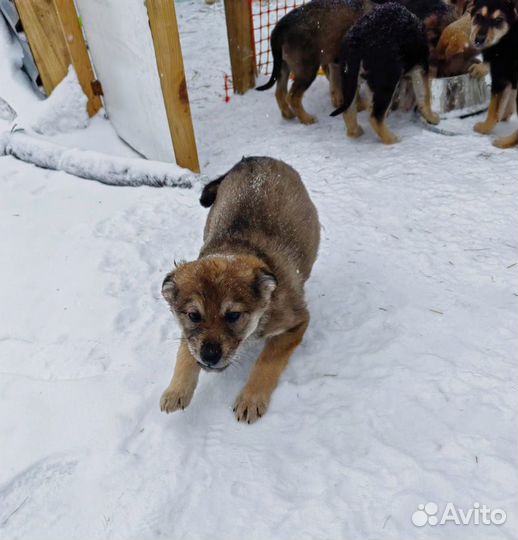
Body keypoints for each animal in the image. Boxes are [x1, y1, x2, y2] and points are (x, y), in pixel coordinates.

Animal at [160, 156, 320, 422]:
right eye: (193, 315)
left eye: (233, 315)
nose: (209, 356)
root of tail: (254, 158)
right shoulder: (190, 334)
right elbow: (185, 351)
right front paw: (176, 391)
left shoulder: (295, 322)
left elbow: (267, 361)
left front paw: (251, 399)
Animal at [334, 1, 438, 143]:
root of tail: (357, 39)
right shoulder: (420, 67)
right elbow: (425, 95)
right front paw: (432, 117)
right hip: (388, 79)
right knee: (375, 117)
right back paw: (392, 138)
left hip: (349, 77)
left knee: (348, 110)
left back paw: (355, 132)